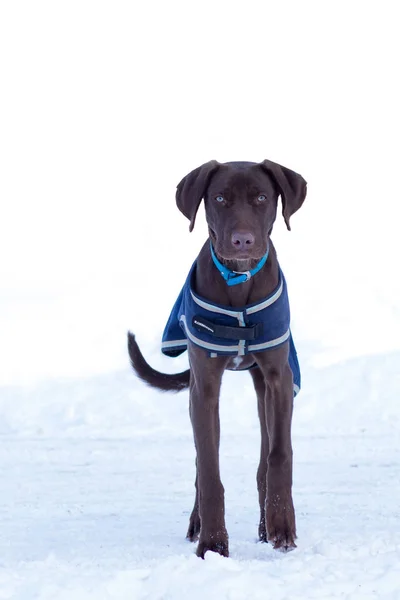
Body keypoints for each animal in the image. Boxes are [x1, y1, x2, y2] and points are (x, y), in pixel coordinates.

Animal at [128, 159, 306, 556]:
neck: (238, 281)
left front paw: (282, 526)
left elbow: (279, 455)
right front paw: (212, 542)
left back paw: (265, 525)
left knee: (264, 457)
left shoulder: (279, 379)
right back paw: (198, 524)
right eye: (220, 198)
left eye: (261, 197)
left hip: (263, 390)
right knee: (201, 459)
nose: (242, 240)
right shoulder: (205, 387)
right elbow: (209, 468)